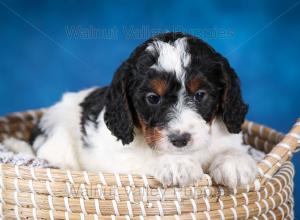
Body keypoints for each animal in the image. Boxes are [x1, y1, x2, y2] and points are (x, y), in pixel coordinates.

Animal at [29, 32, 256, 187]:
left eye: (200, 95)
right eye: (152, 98)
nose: (180, 140)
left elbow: (232, 147)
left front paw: (235, 162)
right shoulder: (119, 159)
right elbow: (148, 157)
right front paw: (177, 163)